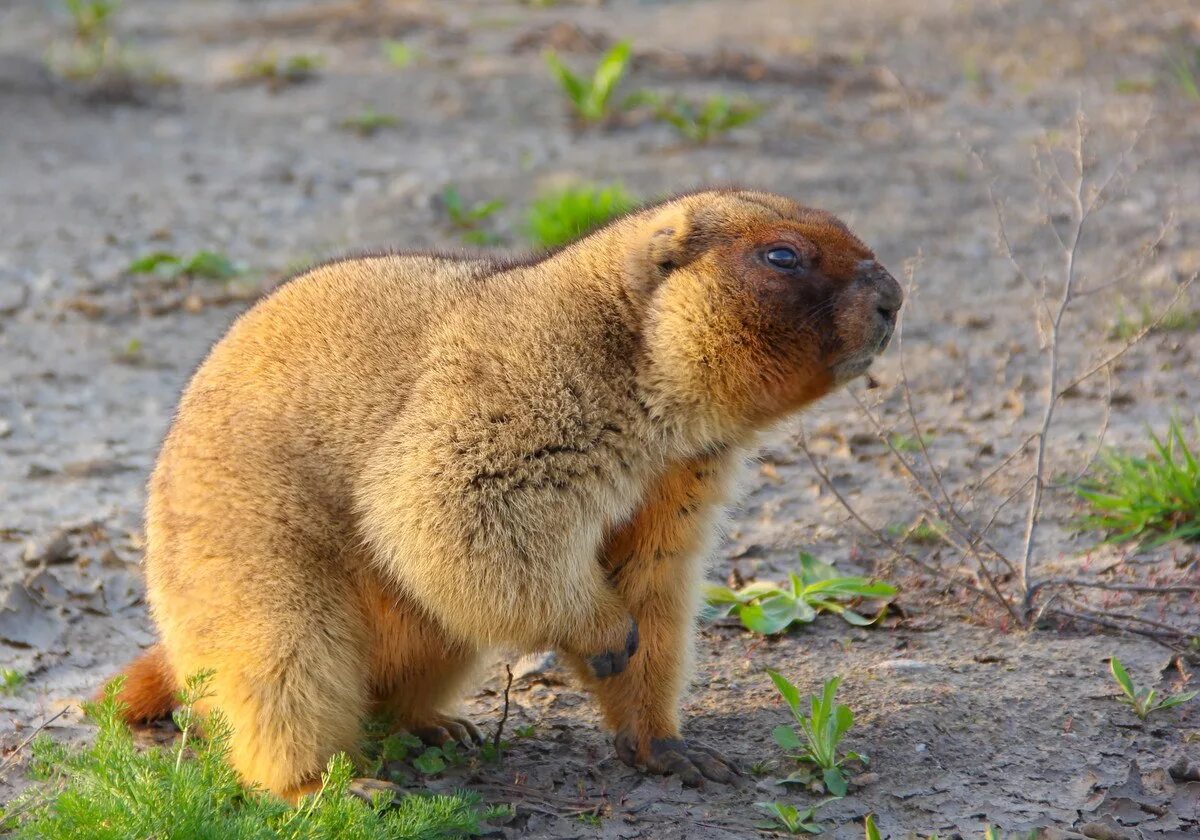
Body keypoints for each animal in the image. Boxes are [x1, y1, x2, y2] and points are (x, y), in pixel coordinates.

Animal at [110, 188, 902, 801]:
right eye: (782, 256)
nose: (896, 294)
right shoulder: (521, 388)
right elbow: (452, 505)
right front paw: (605, 633)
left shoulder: (681, 477)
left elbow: (656, 577)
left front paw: (673, 747)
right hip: (252, 577)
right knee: (280, 672)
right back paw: (326, 787)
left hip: (435, 639)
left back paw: (437, 726)